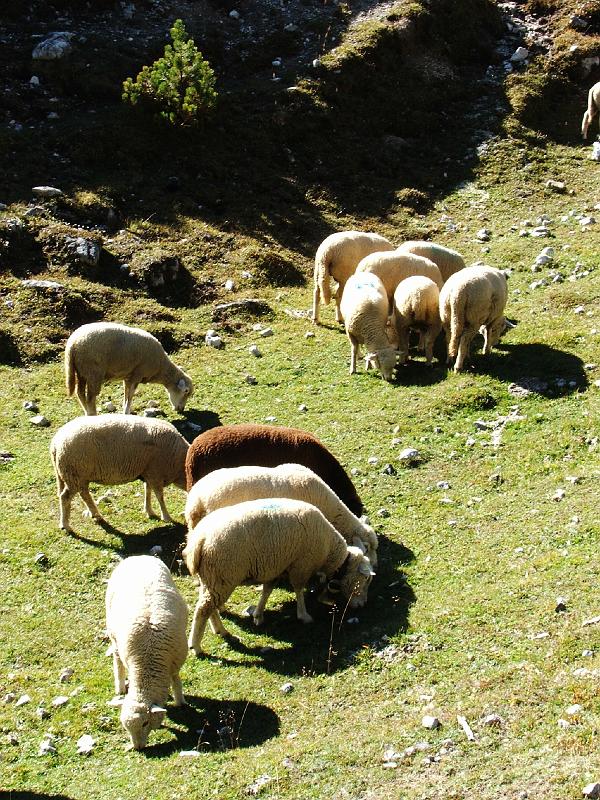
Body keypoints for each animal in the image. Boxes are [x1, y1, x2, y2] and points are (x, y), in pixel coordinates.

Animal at [50, 414, 189, 532]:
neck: (179, 465)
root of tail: (55, 444)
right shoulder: (156, 473)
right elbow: (160, 497)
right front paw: (166, 517)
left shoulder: (148, 472)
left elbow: (147, 491)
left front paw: (149, 511)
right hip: (74, 474)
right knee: (66, 497)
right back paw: (65, 525)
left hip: (78, 476)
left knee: (84, 494)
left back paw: (95, 514)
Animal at [64, 321, 193, 415]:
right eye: (186, 391)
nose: (181, 410)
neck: (160, 367)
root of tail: (72, 345)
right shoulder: (137, 374)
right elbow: (130, 395)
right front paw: (126, 412)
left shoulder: (128, 377)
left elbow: (126, 394)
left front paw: (125, 410)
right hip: (93, 372)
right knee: (90, 398)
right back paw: (92, 415)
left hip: (81, 371)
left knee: (80, 393)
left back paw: (87, 413)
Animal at [105, 555, 188, 750]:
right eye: (126, 726)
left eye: (145, 723)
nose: (138, 748)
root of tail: (138, 556)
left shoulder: (175, 663)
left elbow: (176, 681)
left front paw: (180, 701)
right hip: (113, 635)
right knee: (117, 662)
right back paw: (120, 687)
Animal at [183, 498, 375, 653]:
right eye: (366, 579)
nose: (363, 604)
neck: (330, 554)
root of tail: (199, 539)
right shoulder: (301, 566)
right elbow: (298, 590)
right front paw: (303, 616)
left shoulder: (275, 567)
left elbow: (267, 591)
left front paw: (258, 615)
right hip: (222, 576)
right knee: (203, 609)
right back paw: (196, 646)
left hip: (210, 577)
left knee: (208, 606)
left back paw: (219, 630)